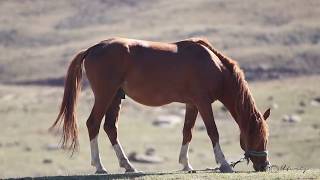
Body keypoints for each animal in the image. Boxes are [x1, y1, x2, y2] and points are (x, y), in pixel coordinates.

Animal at [51, 37, 272, 174]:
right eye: (259, 136)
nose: (264, 166)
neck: (213, 65)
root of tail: (93, 48)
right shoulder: (203, 103)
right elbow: (213, 132)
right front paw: (225, 164)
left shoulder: (192, 105)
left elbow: (187, 132)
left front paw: (186, 164)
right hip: (105, 96)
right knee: (93, 124)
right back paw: (99, 166)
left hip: (115, 98)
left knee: (110, 128)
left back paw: (128, 165)